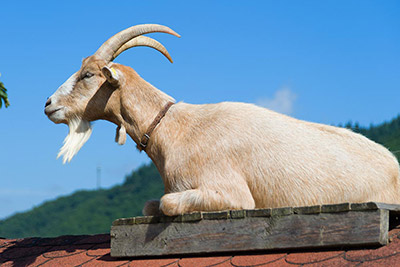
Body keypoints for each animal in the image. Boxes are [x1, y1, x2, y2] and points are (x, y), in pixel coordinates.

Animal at [44, 22, 400, 216]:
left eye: (88, 74)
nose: (49, 105)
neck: (176, 129)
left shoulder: (231, 192)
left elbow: (168, 204)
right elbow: (150, 205)